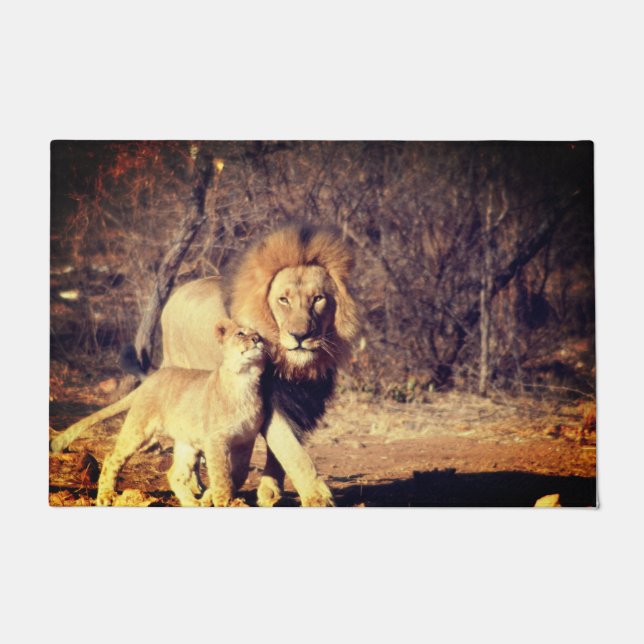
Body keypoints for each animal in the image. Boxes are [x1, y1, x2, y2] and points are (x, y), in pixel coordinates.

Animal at [52, 320, 268, 507]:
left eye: (260, 335)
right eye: (241, 333)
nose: (257, 339)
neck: (245, 379)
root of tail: (150, 379)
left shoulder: (245, 440)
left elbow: (238, 474)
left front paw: (210, 497)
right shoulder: (215, 440)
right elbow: (221, 475)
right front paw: (223, 501)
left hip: (187, 442)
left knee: (175, 474)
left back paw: (193, 503)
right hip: (139, 431)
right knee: (112, 459)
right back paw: (105, 497)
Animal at [156, 224, 360, 506]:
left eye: (318, 299)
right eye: (283, 300)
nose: (300, 335)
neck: (295, 367)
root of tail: (174, 298)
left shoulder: (301, 400)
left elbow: (281, 451)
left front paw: (270, 490)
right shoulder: (265, 401)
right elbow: (291, 451)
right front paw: (317, 497)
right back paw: (196, 484)